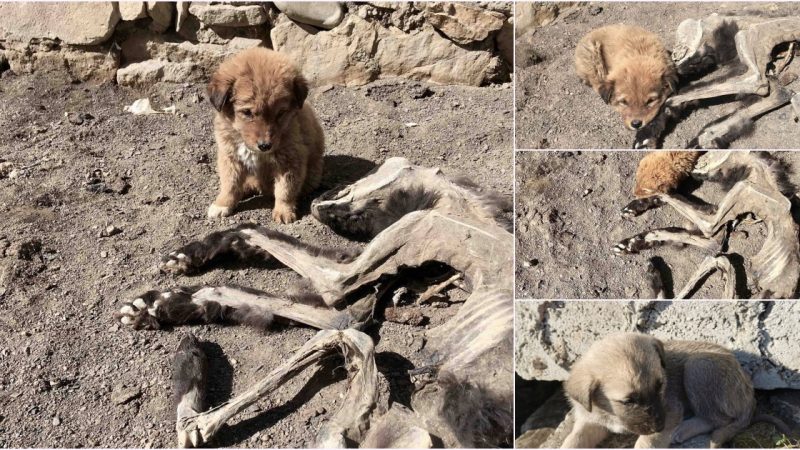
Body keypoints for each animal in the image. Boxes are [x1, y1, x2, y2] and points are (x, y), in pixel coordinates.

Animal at [206, 48, 324, 223]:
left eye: (280, 113)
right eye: (247, 112)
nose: (265, 146)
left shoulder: (291, 159)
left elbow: (285, 189)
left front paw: (283, 211)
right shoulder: (230, 156)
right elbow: (229, 184)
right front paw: (222, 204)